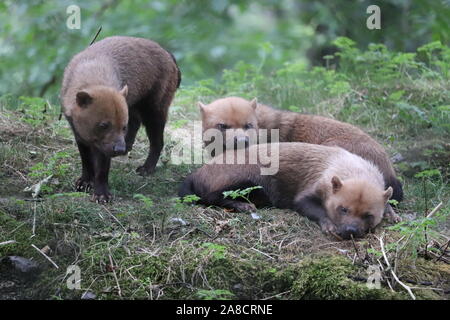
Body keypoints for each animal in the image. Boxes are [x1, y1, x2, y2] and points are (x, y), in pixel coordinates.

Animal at [61, 36, 181, 202]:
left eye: (122, 127)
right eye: (103, 125)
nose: (119, 149)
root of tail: (169, 55)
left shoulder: (105, 145)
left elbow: (102, 168)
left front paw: (102, 194)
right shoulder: (78, 132)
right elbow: (86, 160)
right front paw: (84, 183)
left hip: (154, 109)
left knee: (157, 141)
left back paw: (146, 168)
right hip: (134, 104)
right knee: (136, 122)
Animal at [178, 143, 400, 240]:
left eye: (368, 215)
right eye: (343, 209)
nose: (350, 231)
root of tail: (197, 173)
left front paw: (392, 214)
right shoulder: (309, 190)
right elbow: (306, 205)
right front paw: (328, 225)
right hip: (248, 177)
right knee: (211, 196)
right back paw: (242, 205)